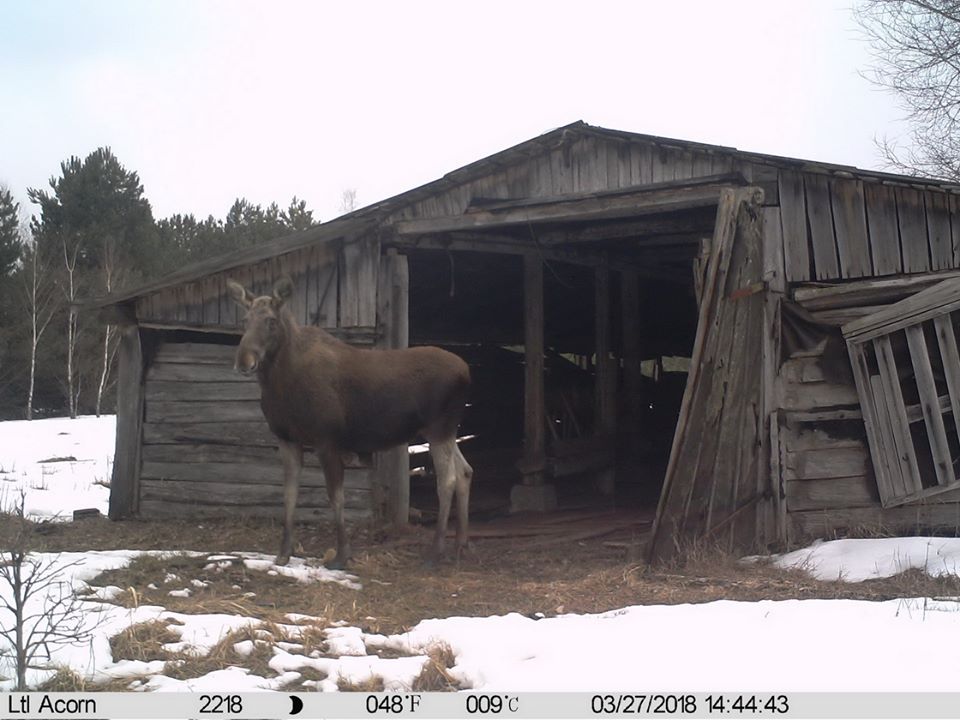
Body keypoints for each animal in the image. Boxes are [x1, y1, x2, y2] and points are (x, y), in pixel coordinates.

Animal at [229, 276, 476, 568]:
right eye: (245, 319)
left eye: (270, 320)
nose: (244, 361)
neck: (280, 384)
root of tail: (467, 372)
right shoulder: (287, 439)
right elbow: (289, 495)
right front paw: (283, 553)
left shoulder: (327, 440)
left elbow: (336, 497)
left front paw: (341, 556)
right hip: (448, 430)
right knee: (465, 471)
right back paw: (461, 545)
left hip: (439, 427)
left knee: (448, 479)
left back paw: (436, 551)